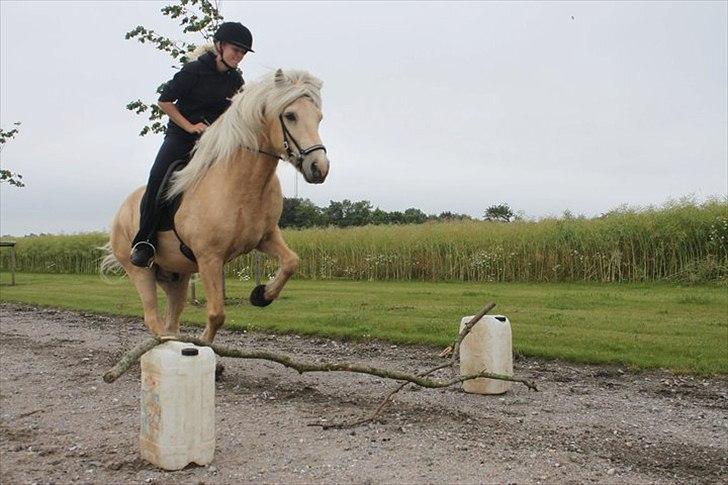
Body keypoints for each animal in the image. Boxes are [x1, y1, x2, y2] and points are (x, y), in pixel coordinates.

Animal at [101, 70, 328, 344]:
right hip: (140, 270)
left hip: (177, 276)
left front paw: (261, 295)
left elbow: (292, 261)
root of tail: (120, 212)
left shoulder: (266, 238)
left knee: (171, 321)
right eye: (290, 115)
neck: (241, 182)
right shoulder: (209, 257)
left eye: (318, 117)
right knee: (153, 320)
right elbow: (217, 314)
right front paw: (203, 344)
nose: (319, 167)